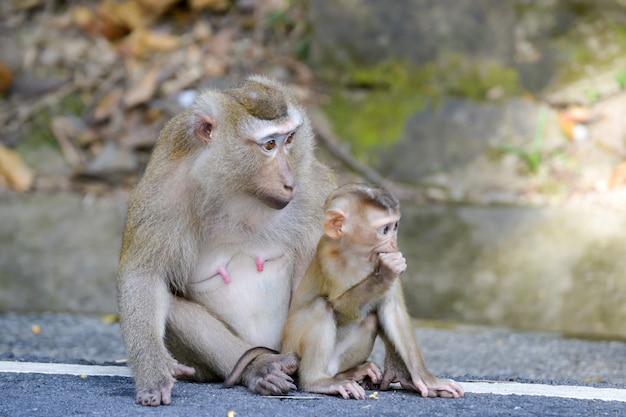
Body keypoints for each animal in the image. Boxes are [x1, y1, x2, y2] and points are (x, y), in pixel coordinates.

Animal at [115, 74, 334, 404]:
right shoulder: (162, 194)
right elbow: (145, 276)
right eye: (269, 145)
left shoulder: (313, 188)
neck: (237, 189)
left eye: (290, 140)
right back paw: (260, 368)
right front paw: (154, 371)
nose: (288, 180)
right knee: (173, 307)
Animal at [280, 184, 460, 398]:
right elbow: (341, 306)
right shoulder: (328, 258)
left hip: (334, 361)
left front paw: (426, 380)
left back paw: (351, 373)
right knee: (320, 306)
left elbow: (392, 311)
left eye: (395, 226)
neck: (358, 256)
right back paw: (317, 381)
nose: (393, 243)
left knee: (370, 320)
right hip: (291, 349)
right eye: (385, 230)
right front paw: (385, 272)